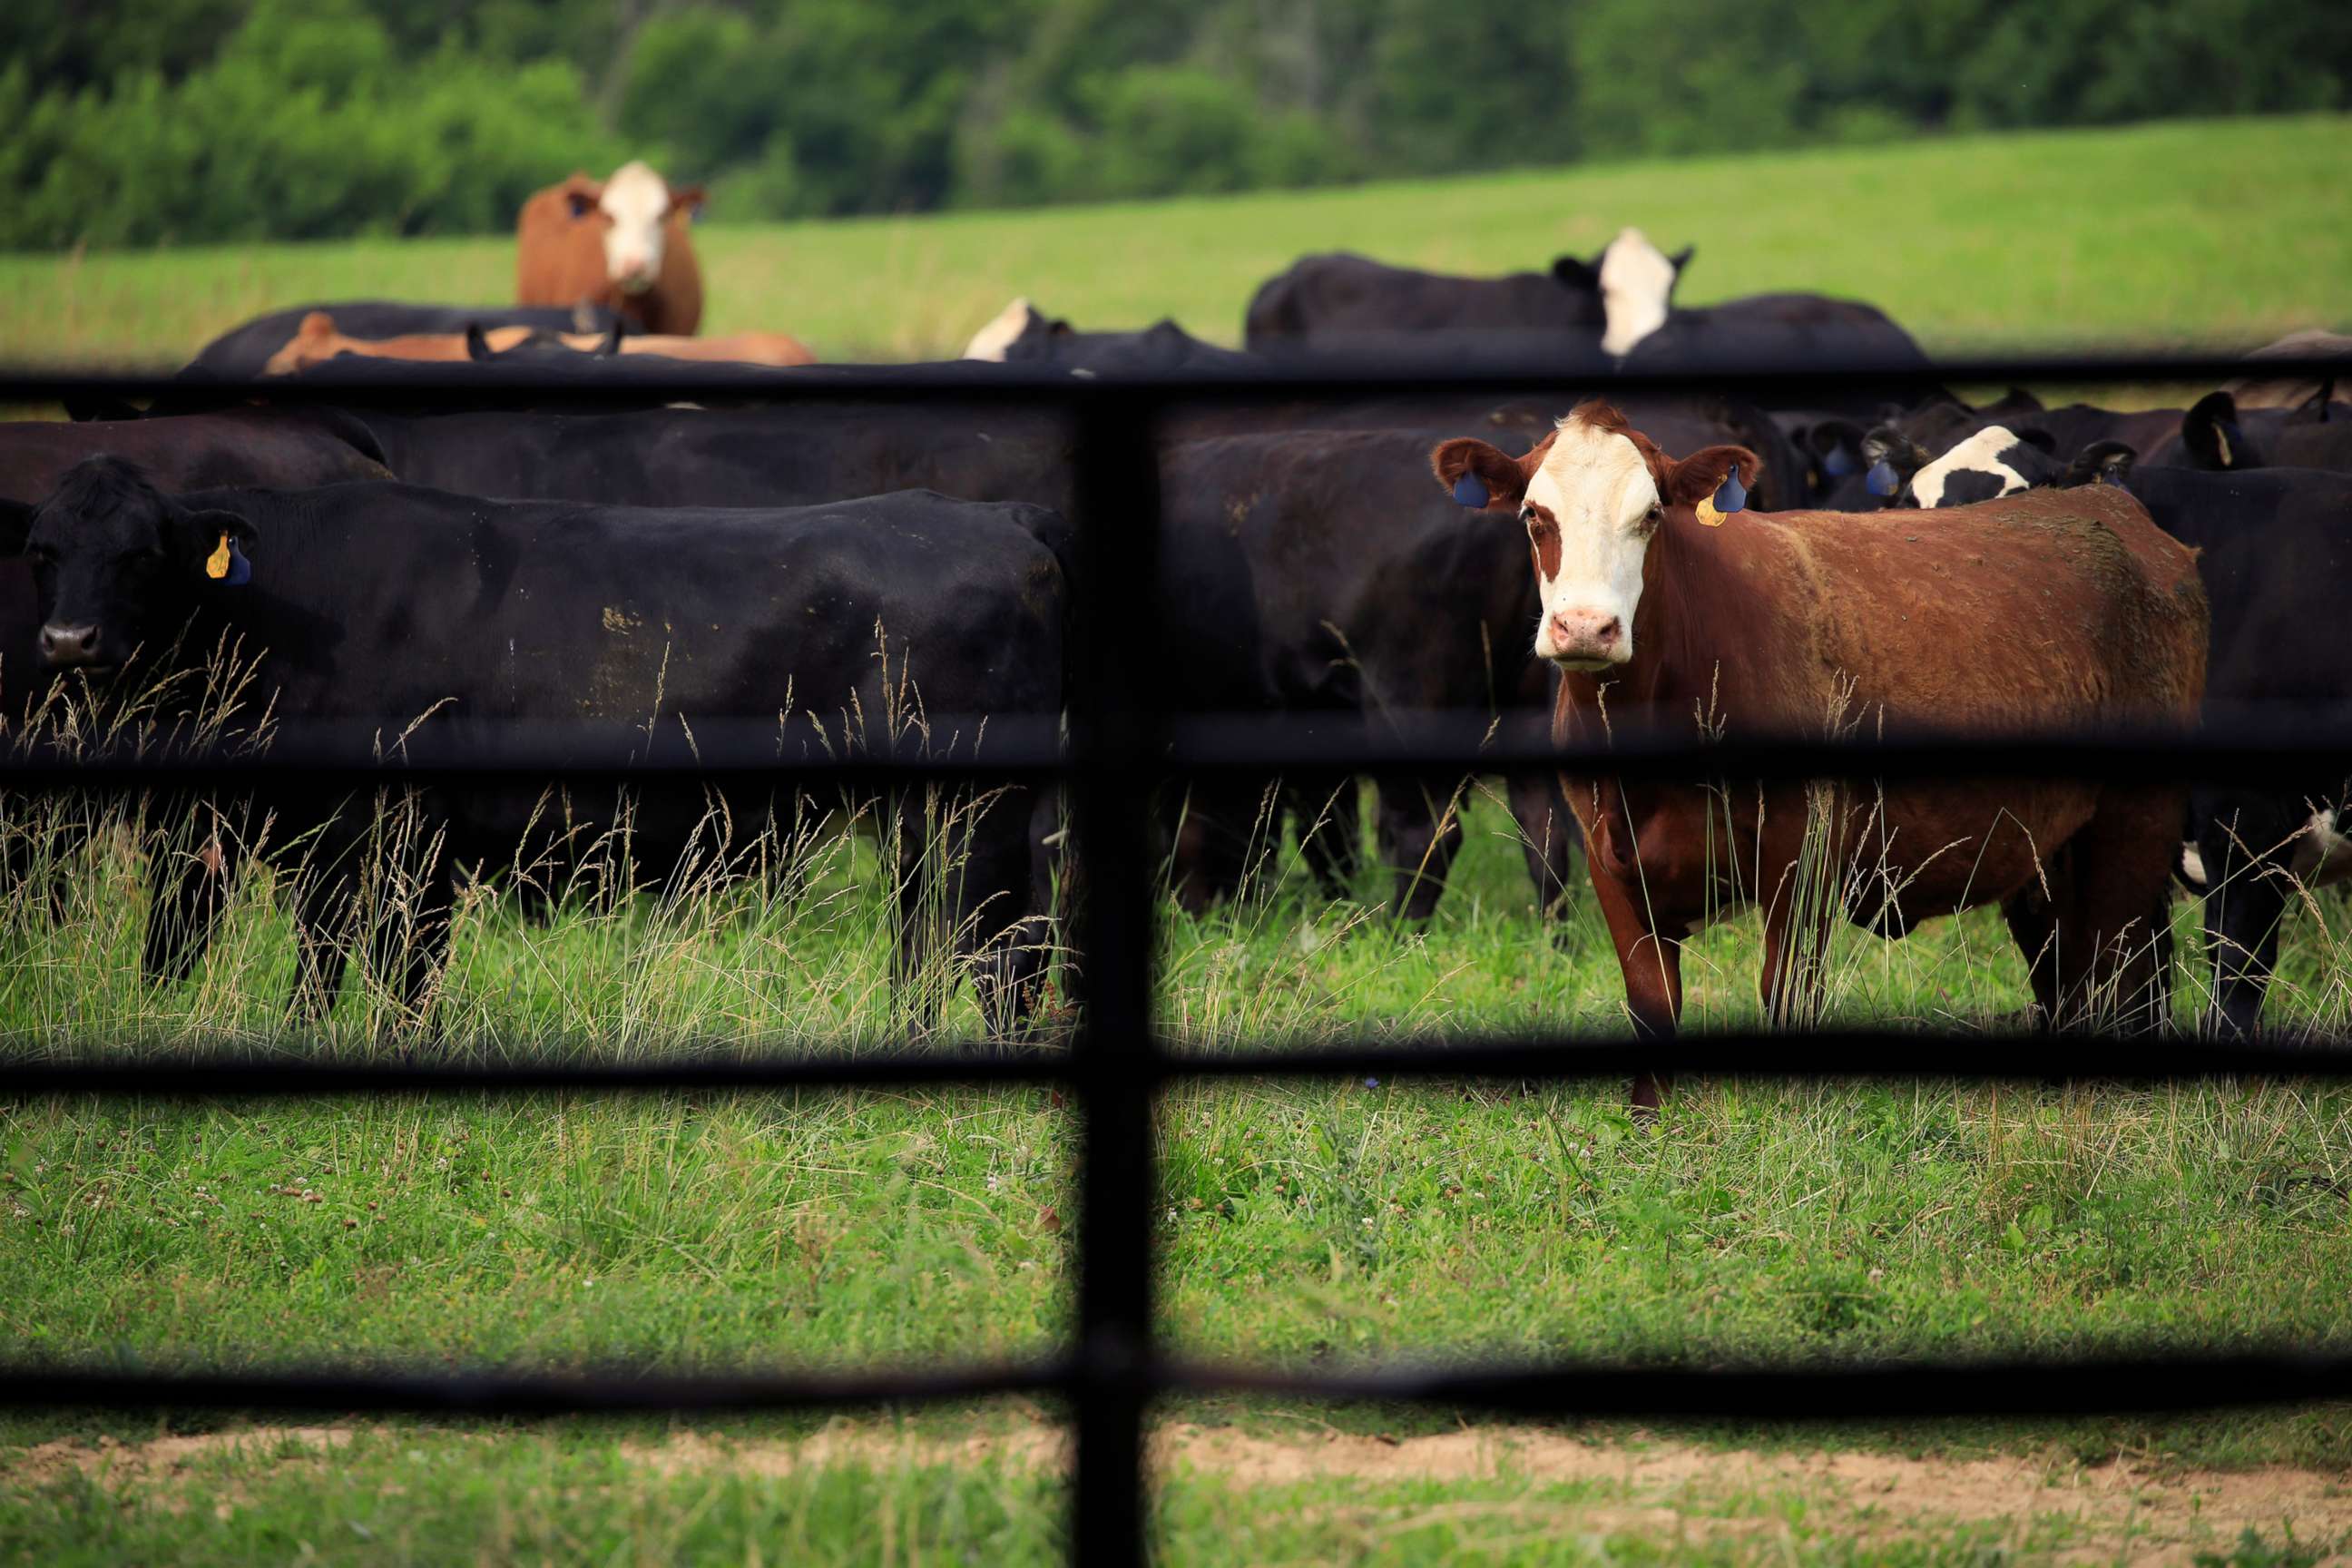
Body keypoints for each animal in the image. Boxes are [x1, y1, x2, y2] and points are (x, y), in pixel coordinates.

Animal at [0, 460, 1067, 1034]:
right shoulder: (324, 849)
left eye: (144, 555)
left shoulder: (403, 837)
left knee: (1000, 954)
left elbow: (401, 973)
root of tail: (1000, 517)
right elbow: (319, 971)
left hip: (981, 815)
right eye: (42, 553)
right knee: (947, 951)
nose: (67, 642)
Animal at [1420, 404, 2210, 1109]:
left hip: (2134, 823)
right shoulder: (1607, 855)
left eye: (1650, 517)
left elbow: (1786, 992)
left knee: (2118, 959)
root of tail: (2112, 509)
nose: (1586, 627)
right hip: (2050, 848)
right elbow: (1652, 1001)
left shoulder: (1801, 851)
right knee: (2073, 966)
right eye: (1534, 516)